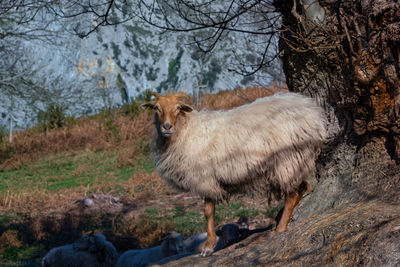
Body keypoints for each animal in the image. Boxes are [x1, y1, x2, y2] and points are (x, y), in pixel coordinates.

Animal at [142, 92, 326, 258]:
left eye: (178, 108)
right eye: (156, 108)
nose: (167, 127)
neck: (185, 130)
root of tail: (312, 111)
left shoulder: (205, 178)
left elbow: (208, 212)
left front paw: (208, 246)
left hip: (287, 160)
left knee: (291, 194)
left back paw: (280, 228)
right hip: (296, 161)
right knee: (302, 187)